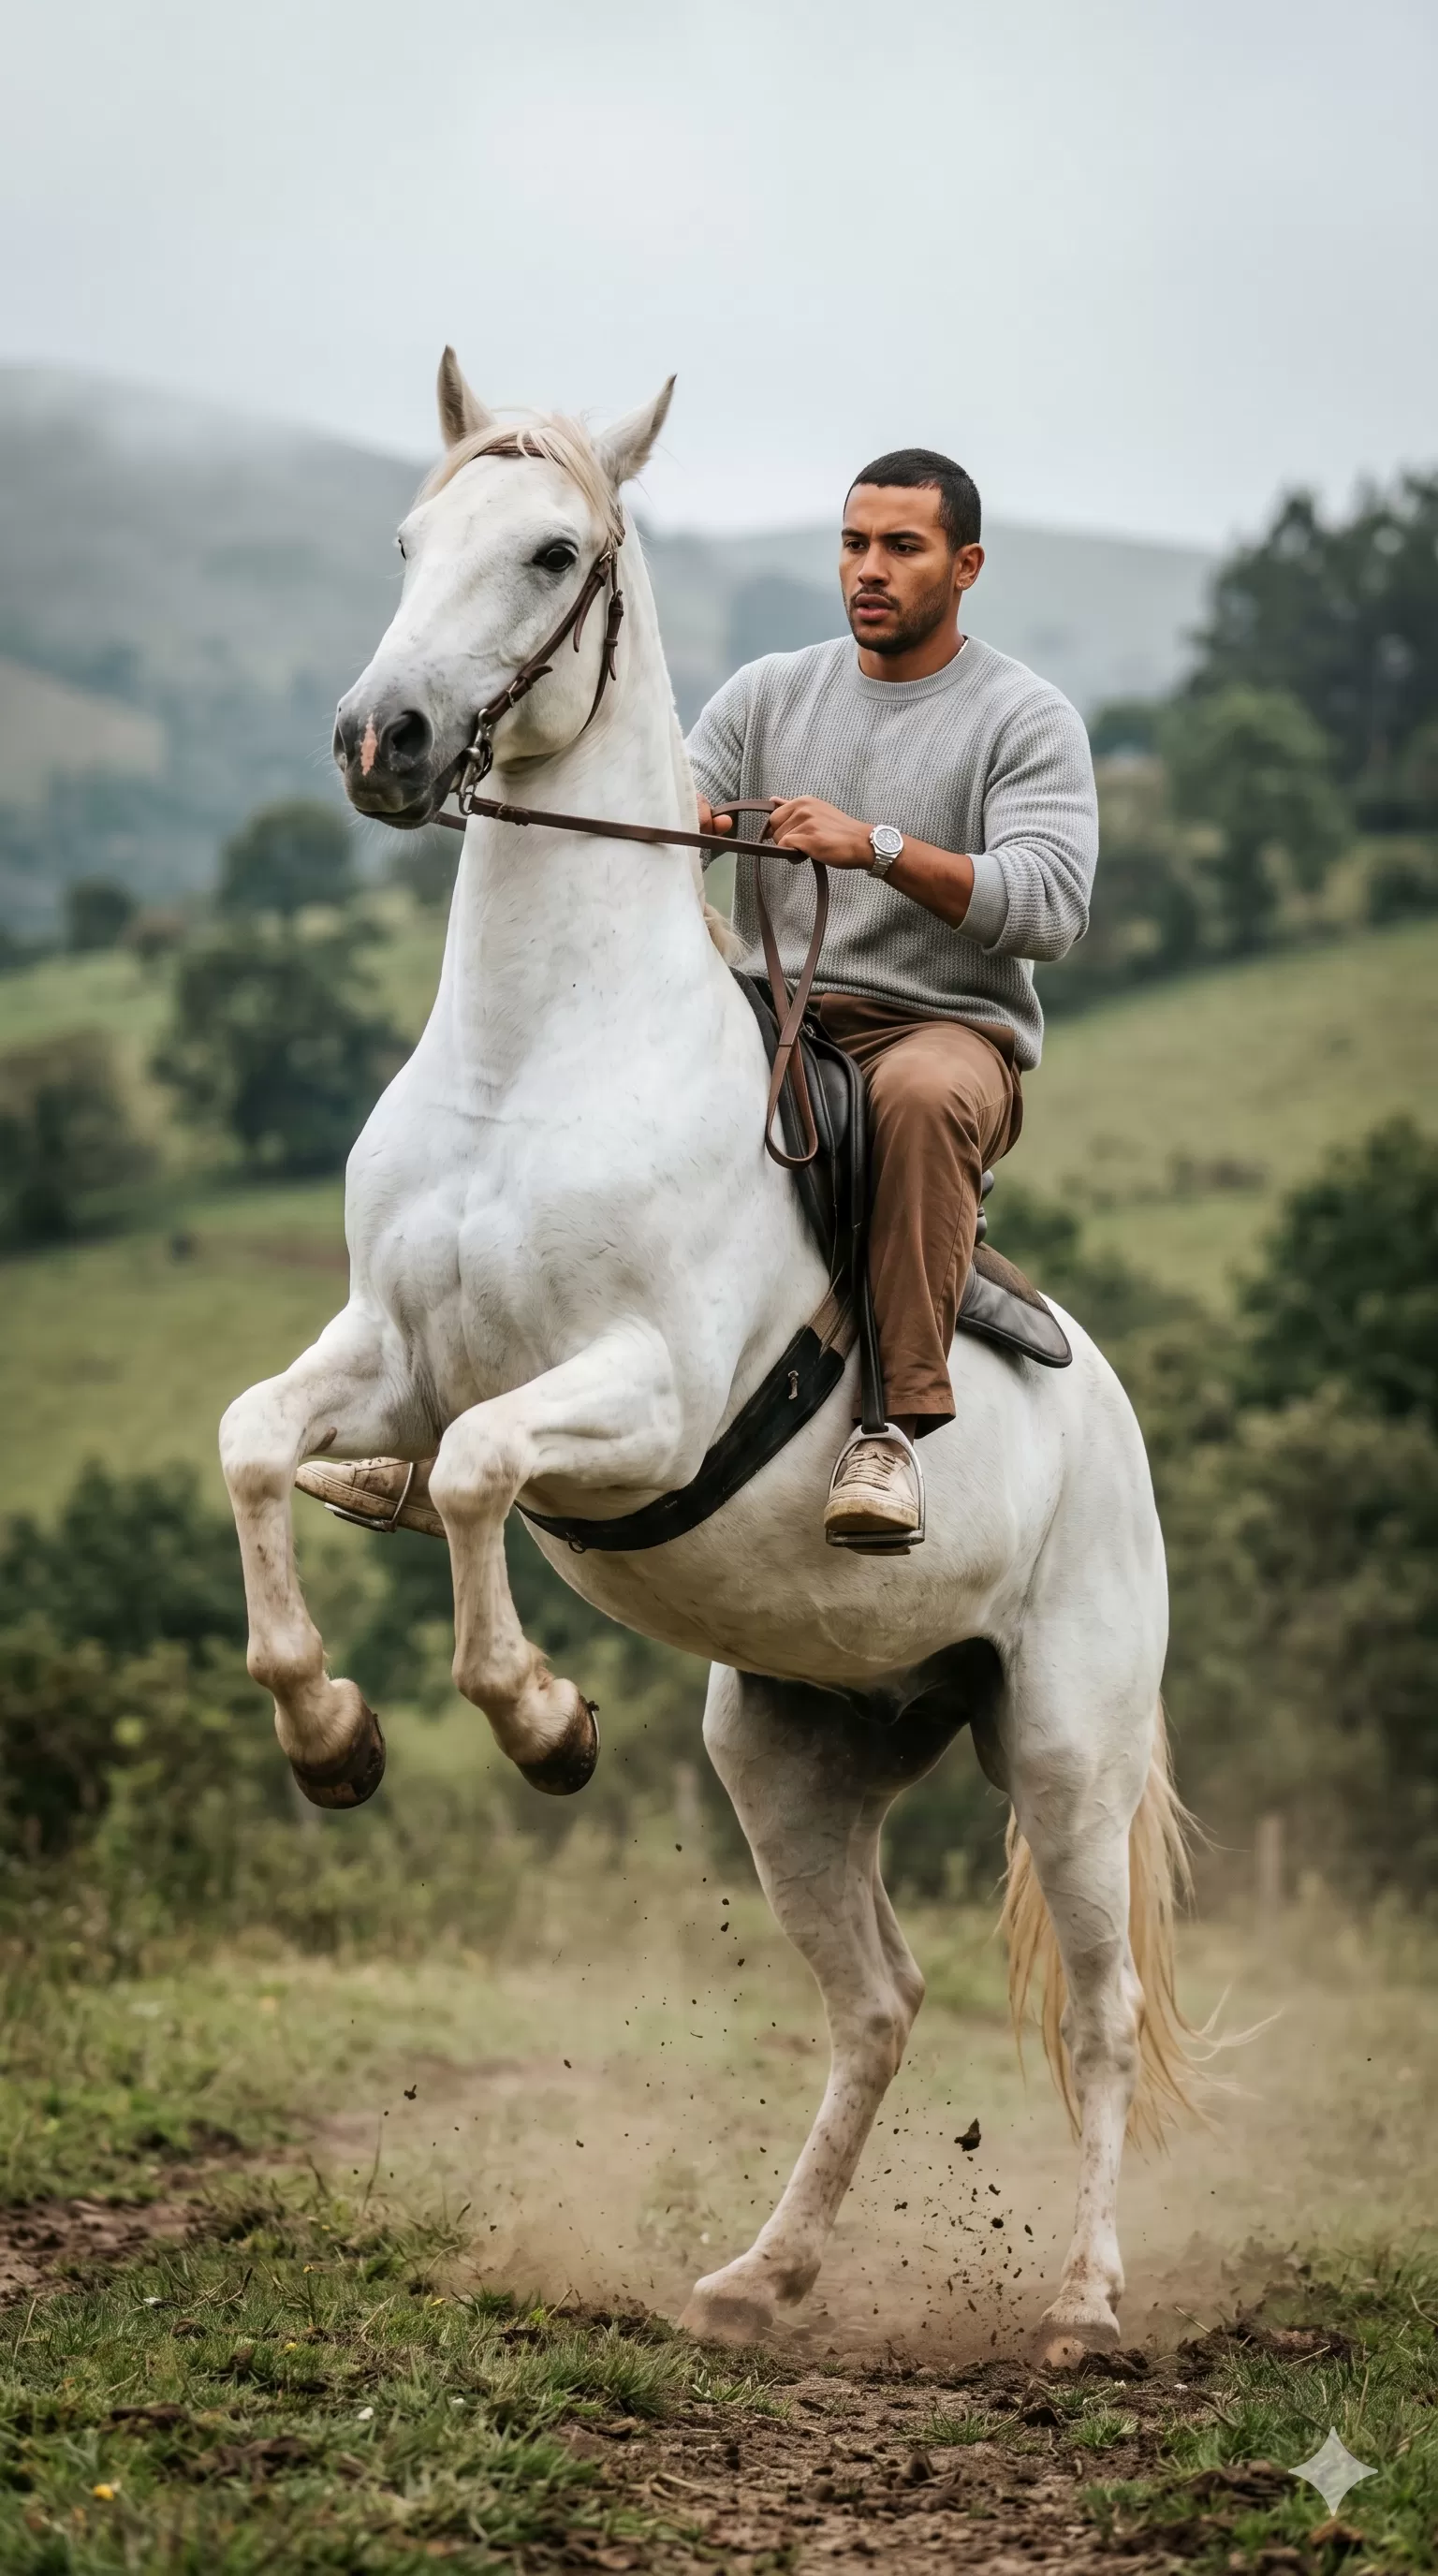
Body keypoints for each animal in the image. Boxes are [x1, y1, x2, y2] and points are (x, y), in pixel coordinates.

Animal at [219, 351, 1193, 2358]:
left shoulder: (646, 1403)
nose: (382, 739)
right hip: (794, 1753)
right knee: (879, 1998)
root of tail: (1118, 1428)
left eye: (552, 550)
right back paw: (765, 2272)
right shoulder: (384, 1351)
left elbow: (477, 1476)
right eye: (411, 539)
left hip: (1068, 1749)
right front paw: (331, 1732)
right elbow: (263, 1443)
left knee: (1102, 2013)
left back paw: (1082, 2301)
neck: (537, 1058)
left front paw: (541, 1721)